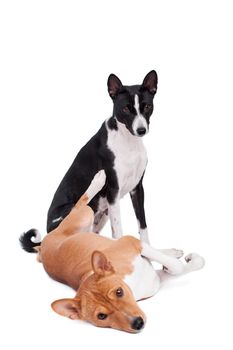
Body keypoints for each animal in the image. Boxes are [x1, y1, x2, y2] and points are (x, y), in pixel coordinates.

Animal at [20, 172, 206, 334]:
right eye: (102, 316)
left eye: (119, 292)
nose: (138, 323)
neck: (133, 286)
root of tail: (43, 244)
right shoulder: (156, 277)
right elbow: (179, 268)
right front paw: (186, 262)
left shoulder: (132, 242)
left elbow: (175, 266)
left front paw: (183, 261)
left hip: (86, 215)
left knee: (82, 201)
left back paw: (98, 179)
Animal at [46, 69, 158, 242]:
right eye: (126, 109)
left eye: (147, 106)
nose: (141, 130)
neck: (128, 142)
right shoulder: (113, 189)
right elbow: (118, 229)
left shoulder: (137, 188)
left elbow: (143, 224)